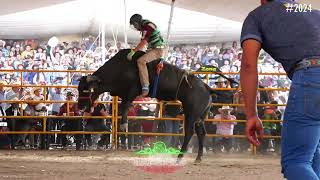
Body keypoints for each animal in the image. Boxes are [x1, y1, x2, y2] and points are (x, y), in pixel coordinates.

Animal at [77, 48, 232, 162]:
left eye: (85, 89)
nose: (80, 107)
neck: (120, 68)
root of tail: (207, 87)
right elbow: (124, 105)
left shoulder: (134, 89)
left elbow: (126, 104)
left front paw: (123, 124)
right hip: (200, 116)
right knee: (201, 133)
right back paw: (198, 158)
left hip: (191, 114)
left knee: (189, 132)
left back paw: (180, 156)